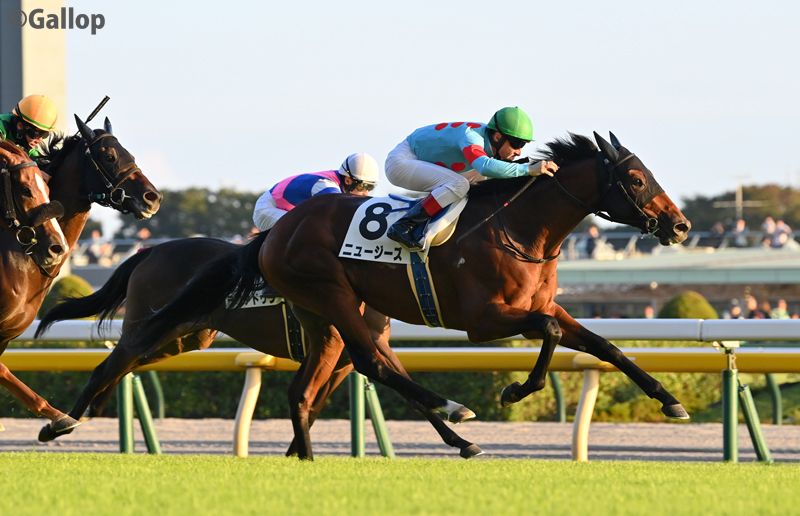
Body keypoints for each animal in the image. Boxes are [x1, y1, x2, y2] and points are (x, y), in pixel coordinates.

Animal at [35, 235, 484, 459]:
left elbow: (402, 394)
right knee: (108, 365)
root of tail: (150, 250)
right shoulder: (350, 344)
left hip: (183, 336)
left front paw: (463, 442)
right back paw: (60, 422)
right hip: (150, 324)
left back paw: (83, 413)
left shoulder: (353, 354)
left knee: (122, 366)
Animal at [123, 132, 692, 458]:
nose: (681, 225)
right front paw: (514, 391)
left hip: (318, 314)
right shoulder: (484, 319)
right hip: (331, 294)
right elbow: (550, 334)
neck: (517, 228)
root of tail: (276, 233)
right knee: (370, 363)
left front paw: (670, 400)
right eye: (635, 178)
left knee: (317, 383)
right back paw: (455, 413)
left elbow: (603, 345)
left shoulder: (540, 305)